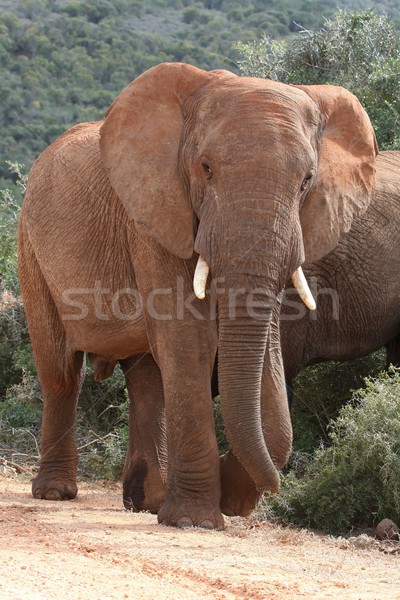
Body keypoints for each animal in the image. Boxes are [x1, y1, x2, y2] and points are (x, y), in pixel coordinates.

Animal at [17, 62, 376, 528]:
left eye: (307, 181)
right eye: (205, 167)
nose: (279, 487)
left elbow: (266, 351)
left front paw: (229, 500)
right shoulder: (154, 214)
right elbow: (191, 341)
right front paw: (196, 520)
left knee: (147, 378)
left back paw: (146, 502)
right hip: (30, 248)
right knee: (60, 372)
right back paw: (56, 493)